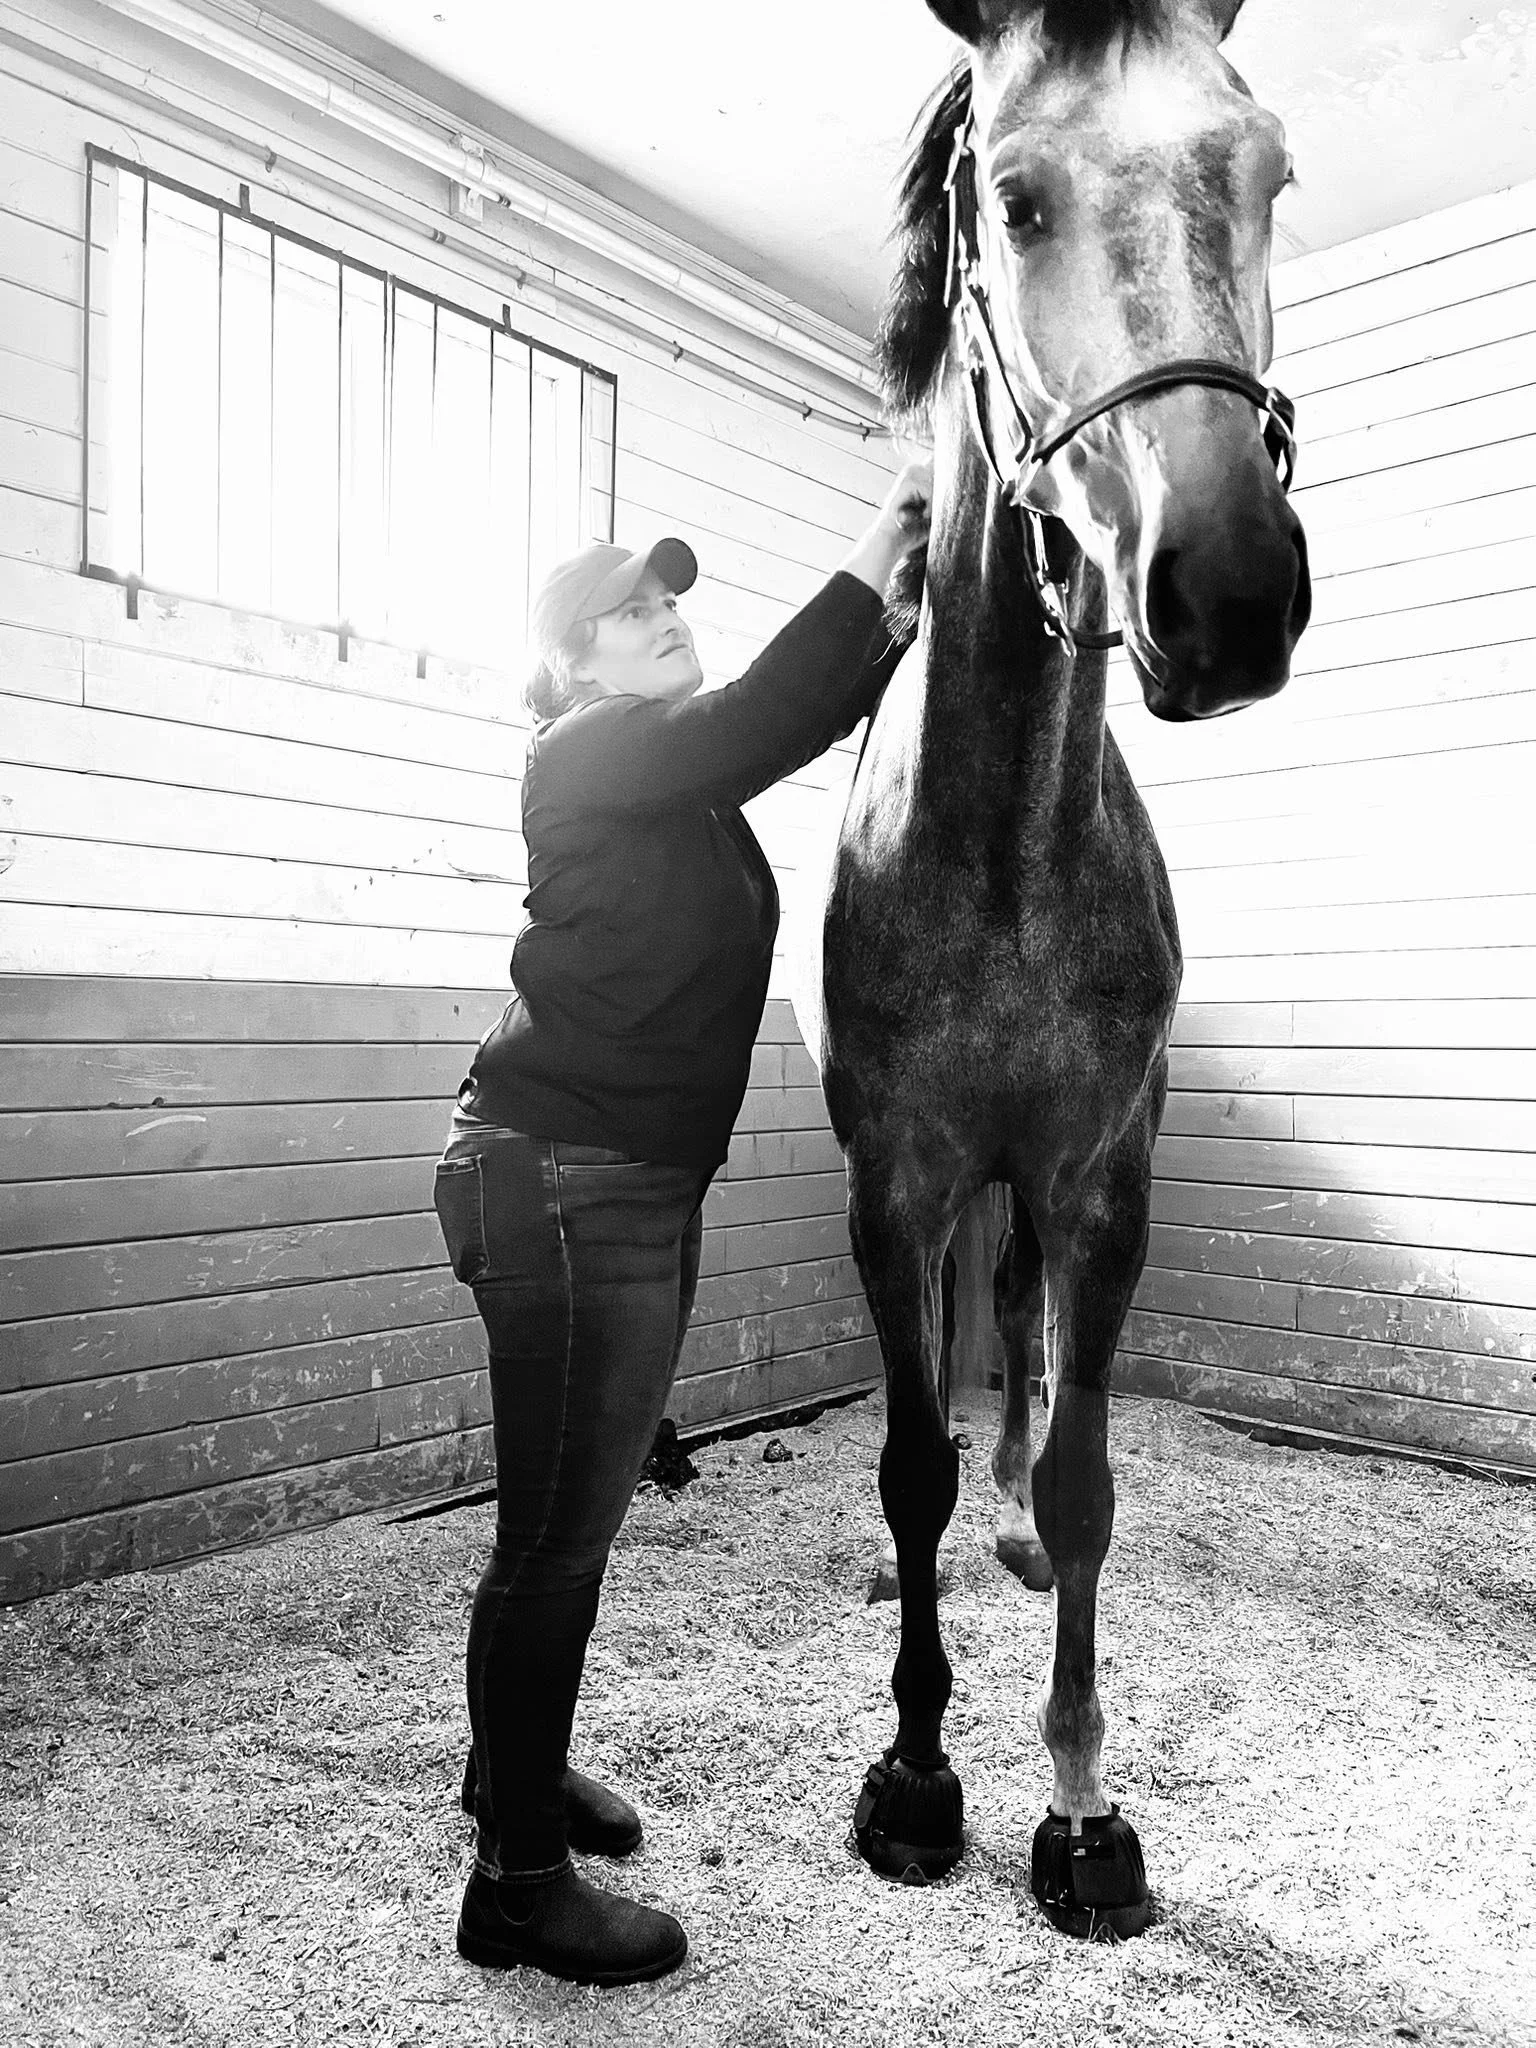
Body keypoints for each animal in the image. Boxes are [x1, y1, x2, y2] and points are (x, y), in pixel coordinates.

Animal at [803, 0, 1310, 1938]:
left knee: (1019, 1361)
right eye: (1011, 199)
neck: (1004, 840)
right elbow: (906, 1457)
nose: (1227, 587)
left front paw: (1082, 1809)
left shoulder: (1102, 1176)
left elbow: (1086, 1471)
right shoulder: (897, 1179)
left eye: (1267, 173)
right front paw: (915, 1777)